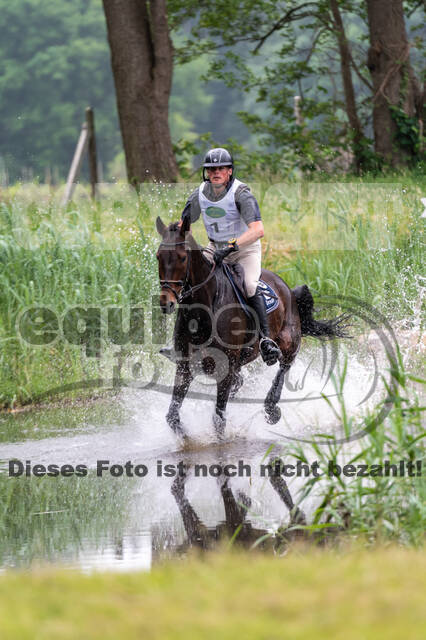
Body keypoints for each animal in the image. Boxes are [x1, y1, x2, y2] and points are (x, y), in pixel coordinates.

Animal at [156, 215, 348, 439]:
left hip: (289, 342)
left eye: (182, 258)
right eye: (158, 256)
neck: (204, 310)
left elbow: (218, 420)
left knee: (284, 367)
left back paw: (272, 410)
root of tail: (287, 289)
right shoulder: (185, 367)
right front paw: (186, 439)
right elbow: (172, 416)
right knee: (242, 382)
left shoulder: (226, 368)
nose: (166, 303)